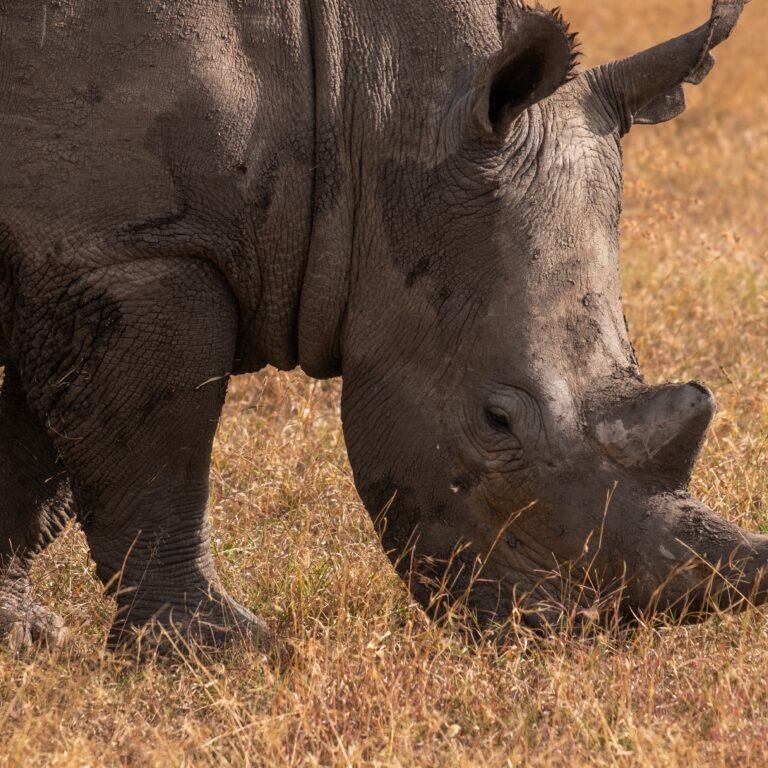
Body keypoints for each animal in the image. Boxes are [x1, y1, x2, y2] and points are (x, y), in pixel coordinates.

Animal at [0, 0, 762, 653]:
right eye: (496, 421)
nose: (566, 634)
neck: (362, 105)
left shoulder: (77, 258)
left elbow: (38, 461)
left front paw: (22, 636)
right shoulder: (138, 251)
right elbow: (159, 454)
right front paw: (223, 653)